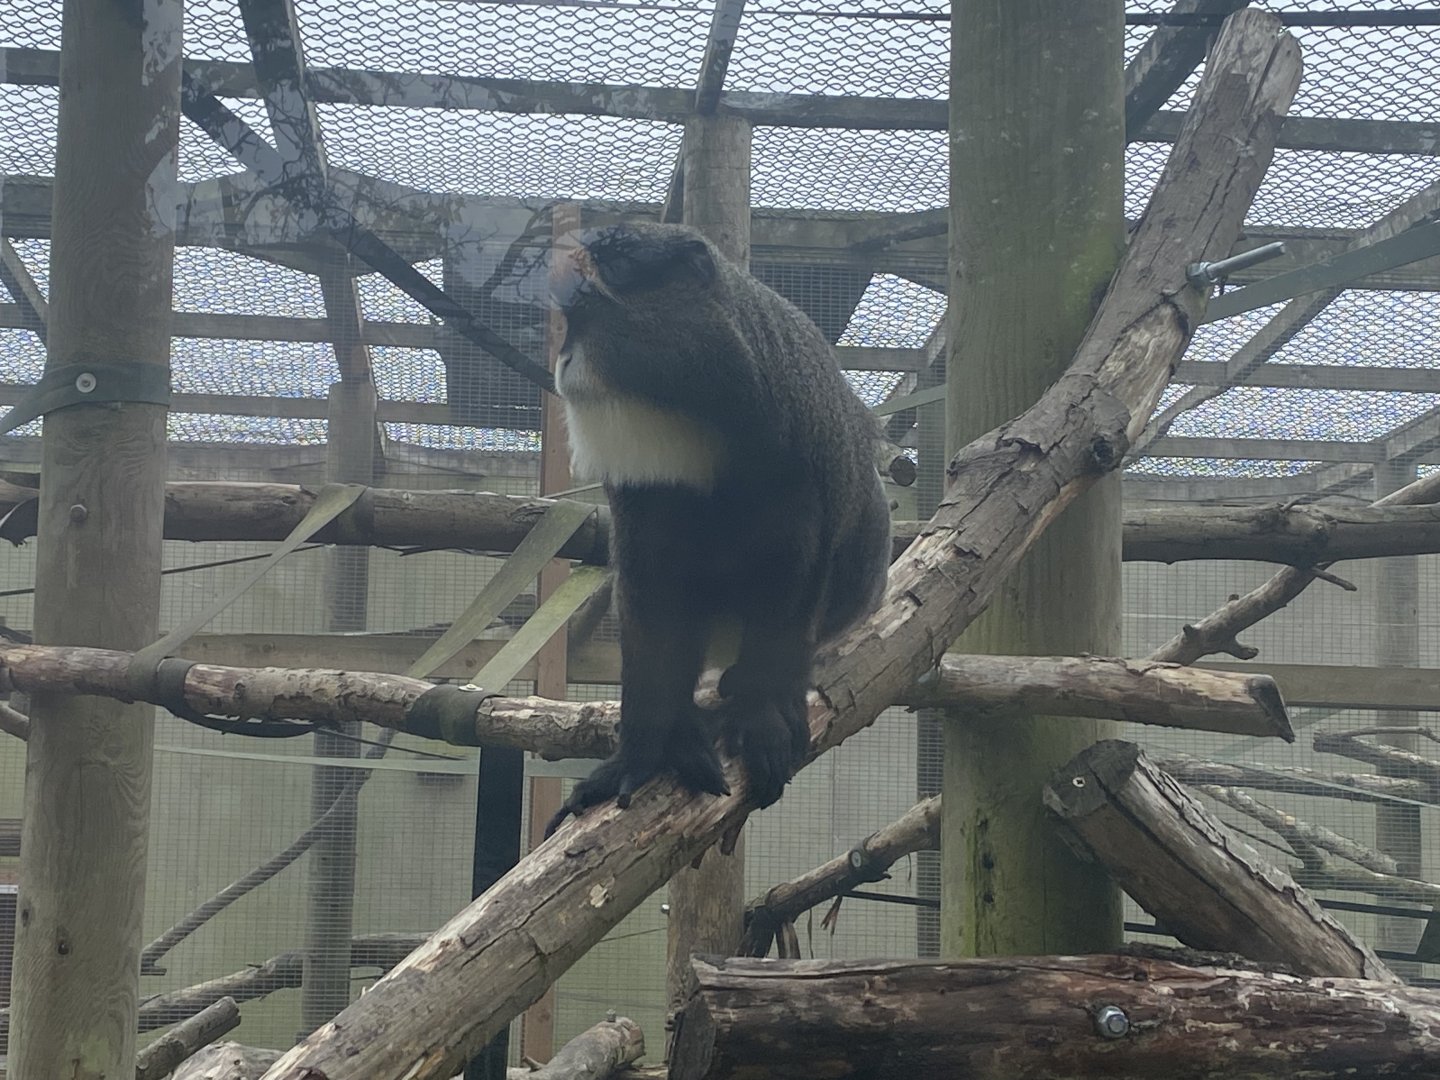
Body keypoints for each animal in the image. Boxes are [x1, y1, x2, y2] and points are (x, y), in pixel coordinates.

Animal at [543, 222, 891, 836]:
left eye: (586, 310)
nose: (563, 361)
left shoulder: (798, 458)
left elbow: (796, 574)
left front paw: (761, 718)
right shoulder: (637, 496)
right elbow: (650, 600)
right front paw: (643, 753)